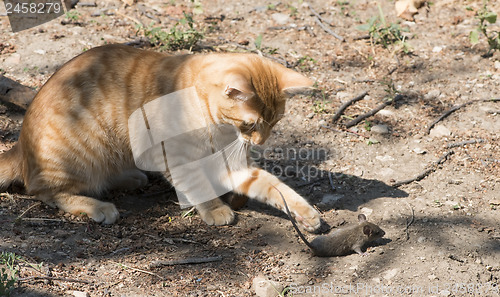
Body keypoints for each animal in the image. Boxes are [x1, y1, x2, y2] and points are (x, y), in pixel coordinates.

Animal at [0, 44, 320, 231]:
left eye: (275, 122)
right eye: (250, 124)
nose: (260, 143)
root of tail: (19, 148)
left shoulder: (233, 164)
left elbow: (275, 187)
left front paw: (305, 212)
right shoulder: (175, 159)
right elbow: (199, 185)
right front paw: (216, 209)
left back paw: (130, 178)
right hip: (81, 156)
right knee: (45, 192)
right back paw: (99, 207)